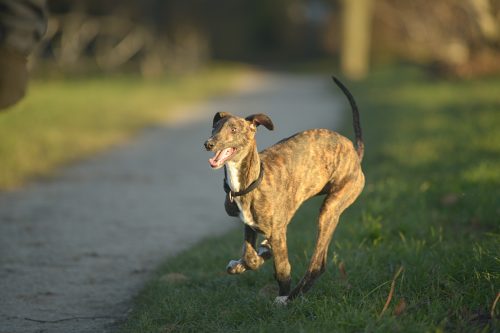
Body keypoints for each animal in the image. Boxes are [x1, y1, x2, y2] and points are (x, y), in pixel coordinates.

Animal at [203, 76, 364, 304]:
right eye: (214, 128)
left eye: (233, 130)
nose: (208, 144)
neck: (250, 182)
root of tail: (355, 153)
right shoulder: (250, 224)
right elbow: (249, 257)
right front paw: (247, 261)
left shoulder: (278, 232)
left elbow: (282, 268)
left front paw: (282, 292)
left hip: (331, 208)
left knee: (318, 263)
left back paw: (292, 296)